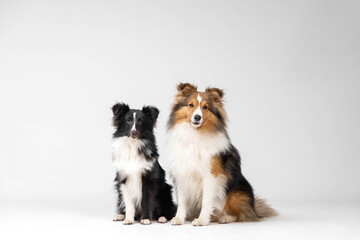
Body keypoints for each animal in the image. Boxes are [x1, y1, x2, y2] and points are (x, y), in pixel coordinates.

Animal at [167, 83, 278, 226]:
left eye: (205, 107)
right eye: (191, 105)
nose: (197, 117)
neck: (196, 135)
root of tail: (254, 208)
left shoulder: (211, 176)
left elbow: (207, 201)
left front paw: (202, 220)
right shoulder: (182, 173)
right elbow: (182, 201)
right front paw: (179, 218)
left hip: (236, 194)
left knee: (240, 214)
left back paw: (225, 218)